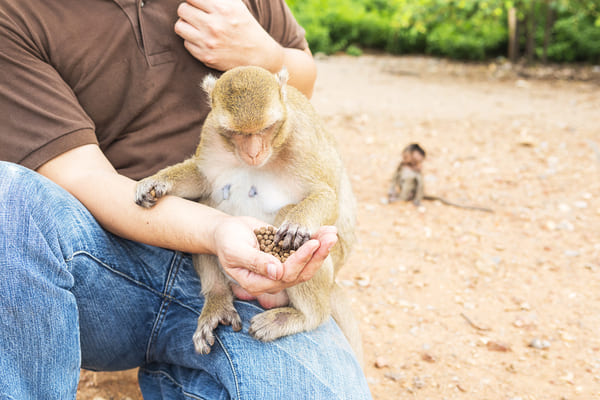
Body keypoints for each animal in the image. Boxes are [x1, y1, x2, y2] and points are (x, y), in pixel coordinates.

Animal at [135, 65, 360, 360]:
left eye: (265, 129)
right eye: (236, 133)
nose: (253, 153)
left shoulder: (301, 139)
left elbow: (328, 195)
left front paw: (298, 223)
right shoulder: (211, 133)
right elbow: (202, 179)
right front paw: (157, 182)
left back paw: (303, 317)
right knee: (207, 204)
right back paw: (217, 297)